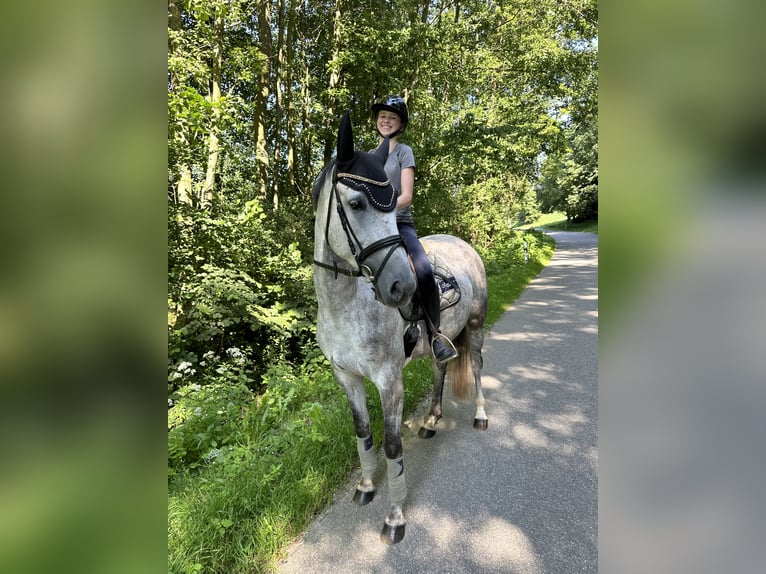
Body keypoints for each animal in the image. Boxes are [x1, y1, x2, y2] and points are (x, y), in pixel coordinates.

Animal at [314, 111, 488, 544]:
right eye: (356, 203)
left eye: (393, 207)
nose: (403, 287)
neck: (345, 306)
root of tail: (463, 243)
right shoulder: (346, 377)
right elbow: (363, 433)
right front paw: (365, 487)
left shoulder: (389, 380)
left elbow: (392, 446)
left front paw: (394, 518)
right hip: (442, 339)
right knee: (442, 367)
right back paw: (430, 421)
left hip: (476, 326)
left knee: (477, 368)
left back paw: (480, 416)